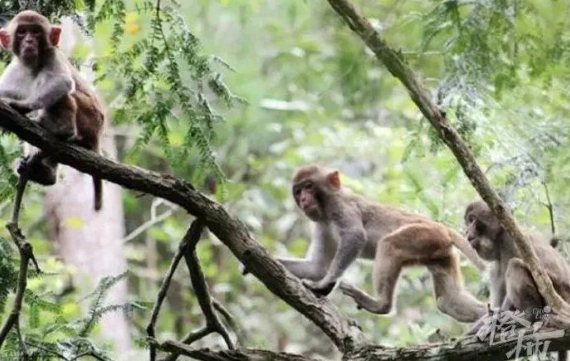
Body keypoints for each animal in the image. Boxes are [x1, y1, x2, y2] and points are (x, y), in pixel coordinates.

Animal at [0, 9, 105, 218]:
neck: (30, 66)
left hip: (89, 118)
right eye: (22, 32)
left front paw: (21, 106)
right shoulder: (13, 71)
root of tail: (98, 134)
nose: (29, 41)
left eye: (36, 32)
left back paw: (64, 131)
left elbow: (61, 82)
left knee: (63, 92)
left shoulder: (52, 55)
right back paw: (45, 174)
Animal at [278, 165, 486, 322]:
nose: (303, 199)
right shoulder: (322, 225)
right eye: (298, 190)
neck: (326, 210)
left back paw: (381, 305)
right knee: (447, 301)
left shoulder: (341, 207)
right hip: (441, 252)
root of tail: (441, 227)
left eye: (309, 186)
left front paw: (324, 285)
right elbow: (317, 267)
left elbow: (354, 237)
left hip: (425, 235)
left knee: (390, 245)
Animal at [462, 198, 568, 358]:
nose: (467, 231)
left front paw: (494, 323)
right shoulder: (495, 265)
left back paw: (528, 315)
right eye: (468, 222)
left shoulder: (510, 241)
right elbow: (496, 304)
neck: (498, 239)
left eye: (472, 220)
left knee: (515, 264)